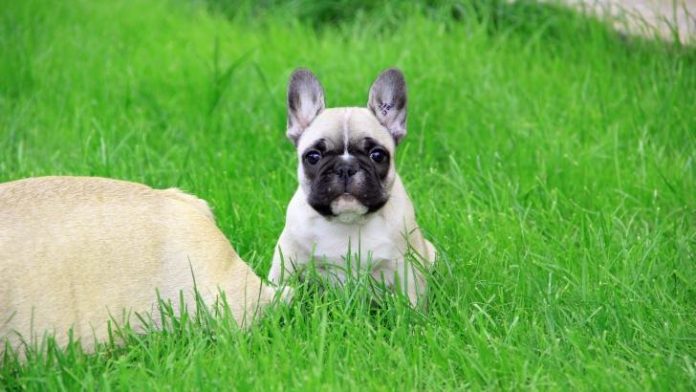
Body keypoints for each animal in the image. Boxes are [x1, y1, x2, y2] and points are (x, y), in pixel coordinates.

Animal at [270, 69, 438, 304]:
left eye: (377, 155)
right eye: (313, 157)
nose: (345, 167)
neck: (347, 223)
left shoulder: (406, 265)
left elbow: (411, 298)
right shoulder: (288, 257)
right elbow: (279, 285)